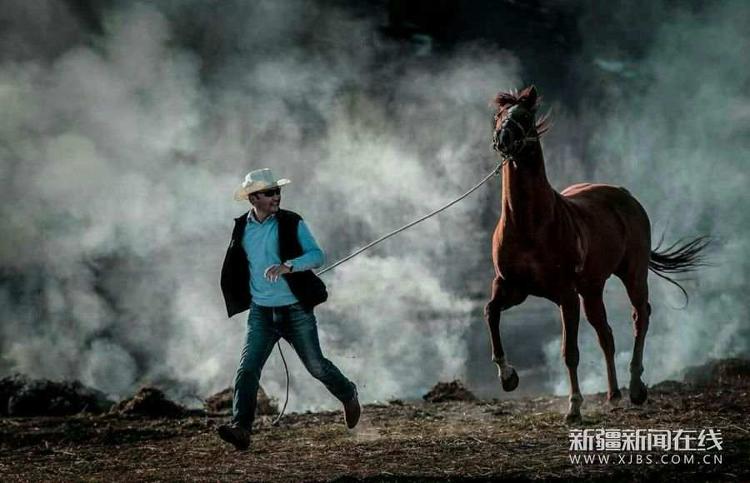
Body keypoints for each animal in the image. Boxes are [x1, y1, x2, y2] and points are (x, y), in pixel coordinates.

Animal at [488, 87, 712, 424]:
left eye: (524, 116)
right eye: (499, 115)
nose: (504, 137)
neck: (530, 223)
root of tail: (626, 196)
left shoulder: (565, 295)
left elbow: (570, 352)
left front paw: (574, 407)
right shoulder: (511, 287)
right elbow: (491, 313)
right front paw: (508, 377)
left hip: (633, 274)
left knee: (640, 315)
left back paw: (636, 388)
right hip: (592, 289)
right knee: (605, 332)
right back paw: (613, 393)